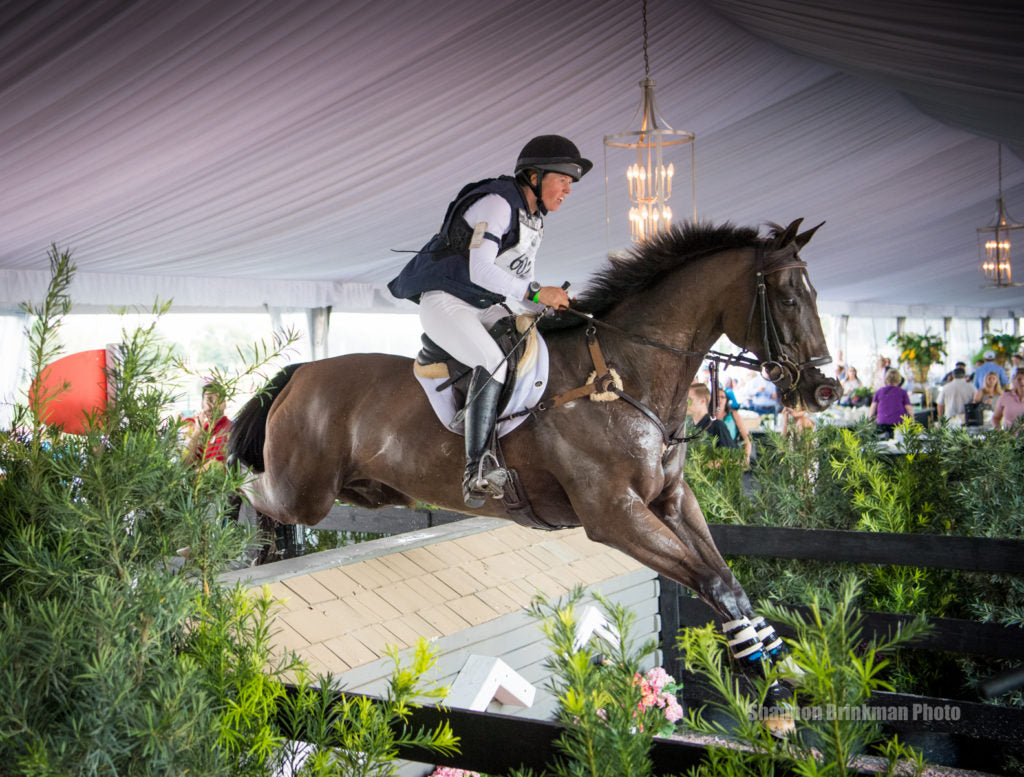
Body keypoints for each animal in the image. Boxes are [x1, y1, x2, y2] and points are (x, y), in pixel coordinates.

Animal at [230, 219, 839, 704]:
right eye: (789, 299)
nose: (824, 390)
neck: (623, 376)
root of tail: (301, 372)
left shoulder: (671, 500)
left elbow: (726, 580)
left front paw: (774, 664)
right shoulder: (614, 514)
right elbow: (710, 579)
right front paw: (763, 672)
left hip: (353, 487)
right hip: (302, 490)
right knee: (248, 493)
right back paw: (245, 552)